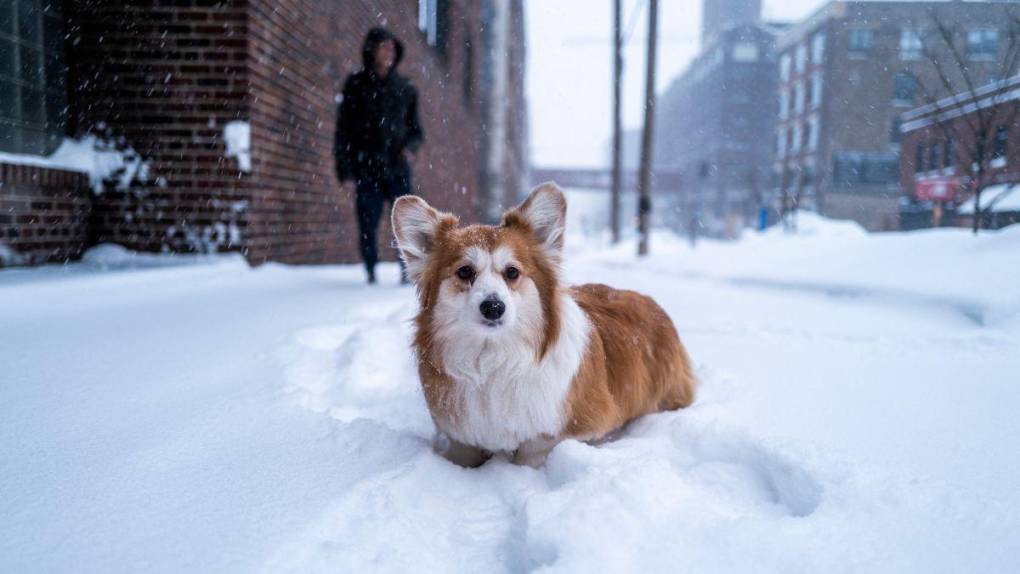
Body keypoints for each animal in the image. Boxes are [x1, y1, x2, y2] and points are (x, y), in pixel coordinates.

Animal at [389, 184, 693, 466]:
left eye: (512, 272)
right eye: (465, 271)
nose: (493, 307)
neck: (493, 357)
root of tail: (652, 303)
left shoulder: (575, 425)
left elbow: (534, 448)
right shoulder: (459, 433)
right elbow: (463, 452)